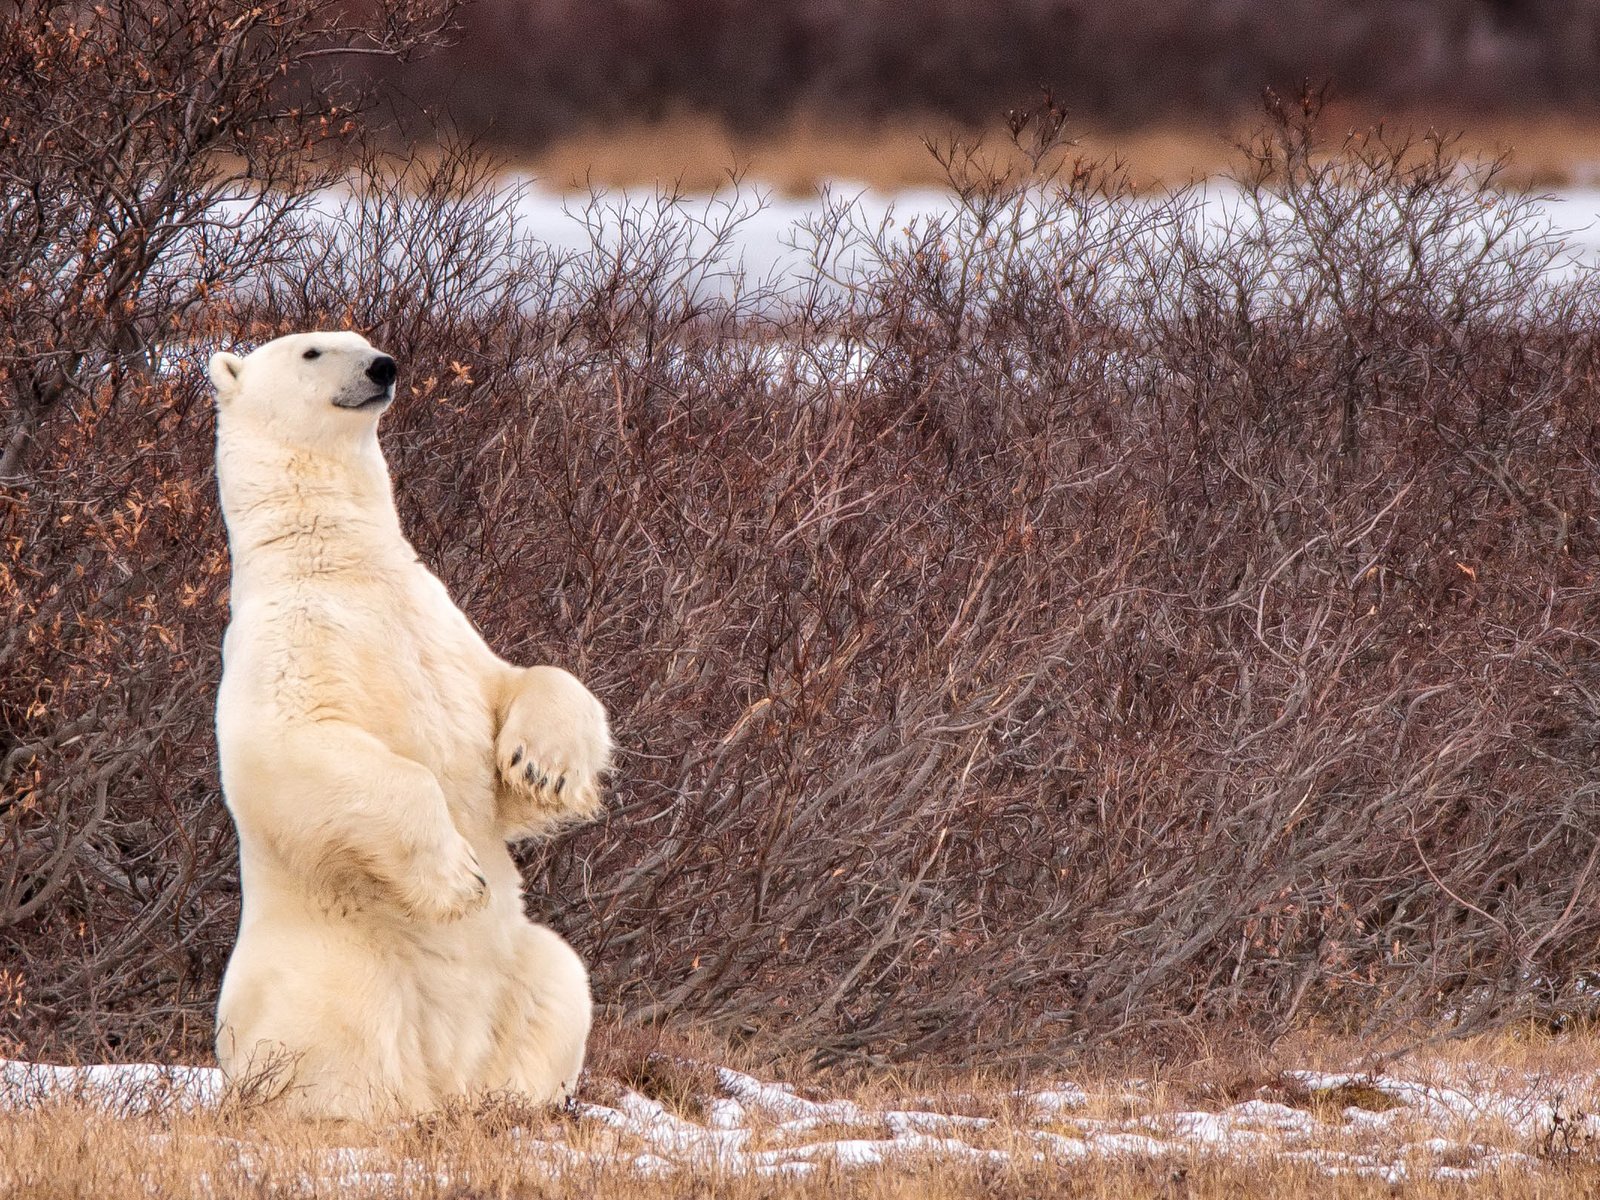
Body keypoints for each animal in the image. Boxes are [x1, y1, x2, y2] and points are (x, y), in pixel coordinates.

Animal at [209, 326, 608, 1120]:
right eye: (312, 351)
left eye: (361, 340)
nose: (382, 367)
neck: (339, 565)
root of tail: (445, 1072)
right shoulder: (283, 650)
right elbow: (295, 748)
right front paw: (459, 878)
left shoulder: (442, 628)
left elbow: (517, 688)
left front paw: (544, 766)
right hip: (333, 962)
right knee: (336, 1029)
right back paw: (357, 1110)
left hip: (519, 967)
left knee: (560, 981)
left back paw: (511, 1104)